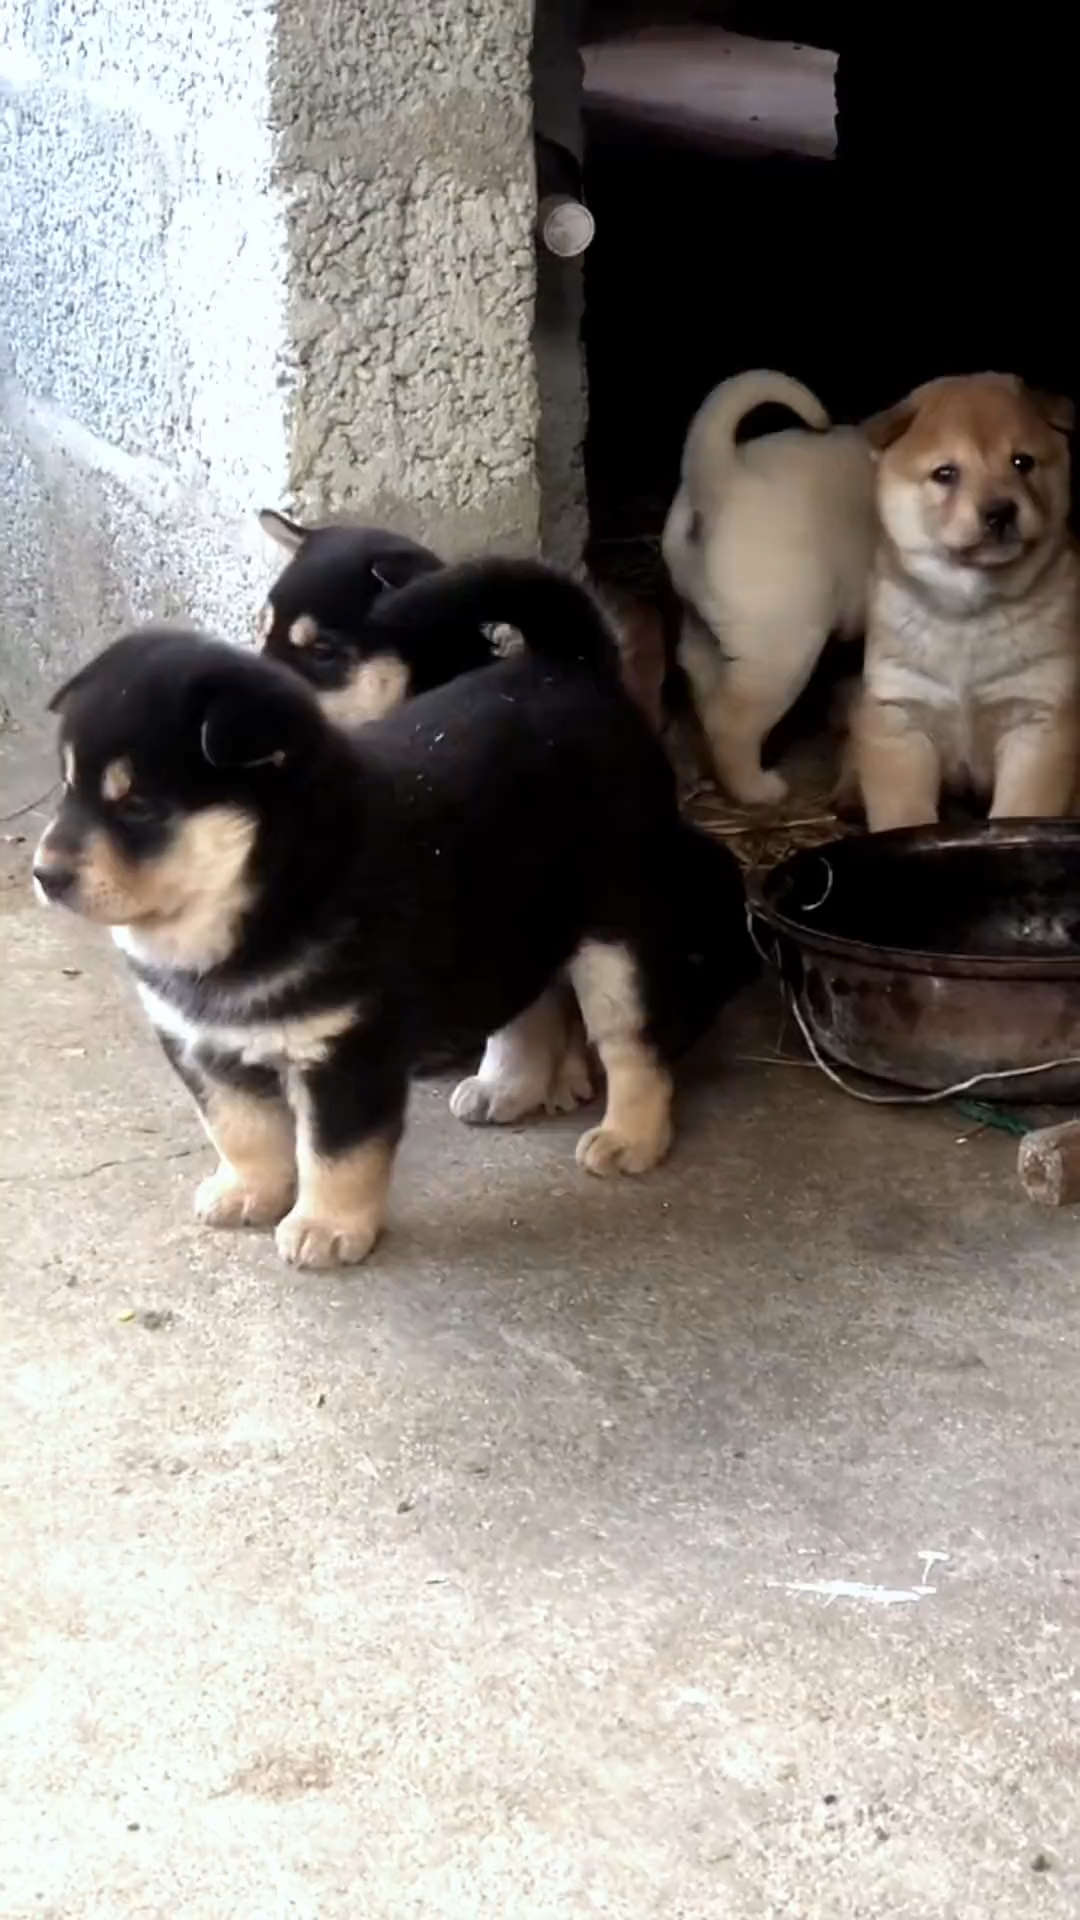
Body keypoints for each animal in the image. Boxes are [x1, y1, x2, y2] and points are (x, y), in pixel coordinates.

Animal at [35, 560, 757, 1267]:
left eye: (139, 808)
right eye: (68, 790)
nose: (45, 874)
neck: (258, 895)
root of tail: (570, 663)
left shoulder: (347, 1048)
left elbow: (335, 1152)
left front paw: (325, 1227)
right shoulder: (199, 1043)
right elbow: (239, 1128)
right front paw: (248, 1191)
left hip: (616, 941)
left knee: (633, 1046)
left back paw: (630, 1137)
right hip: (505, 919)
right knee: (529, 1007)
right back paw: (506, 1087)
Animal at [657, 366, 876, 802]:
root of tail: (721, 476)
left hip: (707, 633)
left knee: (704, 690)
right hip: (783, 651)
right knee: (731, 723)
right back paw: (757, 789)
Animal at [849, 370, 1076, 829]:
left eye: (1022, 462)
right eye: (946, 473)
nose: (1000, 511)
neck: (970, 614)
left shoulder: (1037, 721)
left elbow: (1021, 809)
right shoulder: (899, 715)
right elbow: (904, 814)